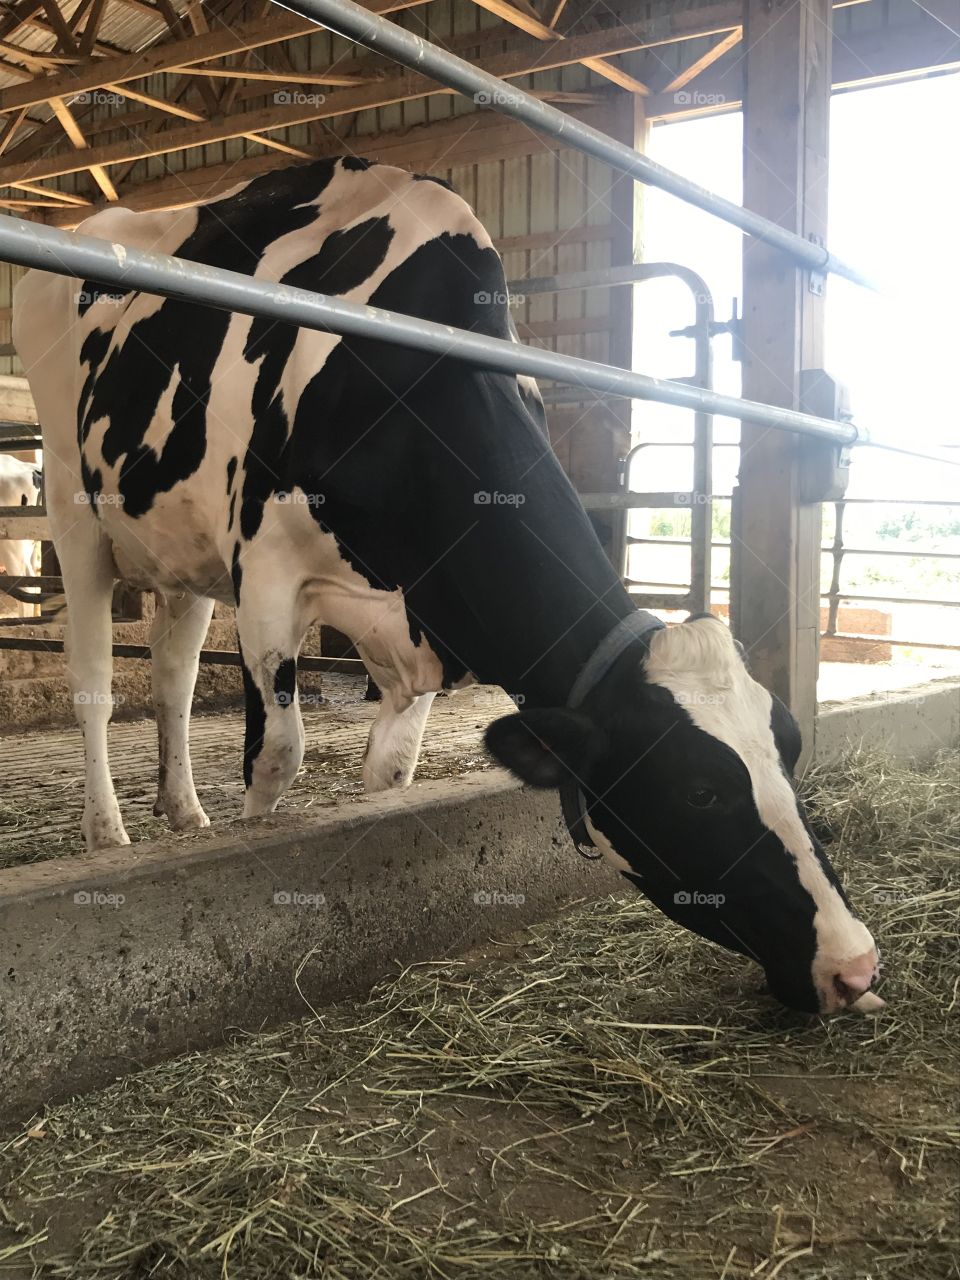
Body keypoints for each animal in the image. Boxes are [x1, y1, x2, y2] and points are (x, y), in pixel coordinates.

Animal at [15, 160, 885, 1013]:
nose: (856, 964)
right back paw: (108, 833)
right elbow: (278, 758)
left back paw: (185, 811)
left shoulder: (428, 621)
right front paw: (246, 848)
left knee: (173, 675)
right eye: (701, 790)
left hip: (180, 546)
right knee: (96, 682)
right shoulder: (264, 575)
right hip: (72, 504)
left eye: (791, 751)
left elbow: (392, 773)